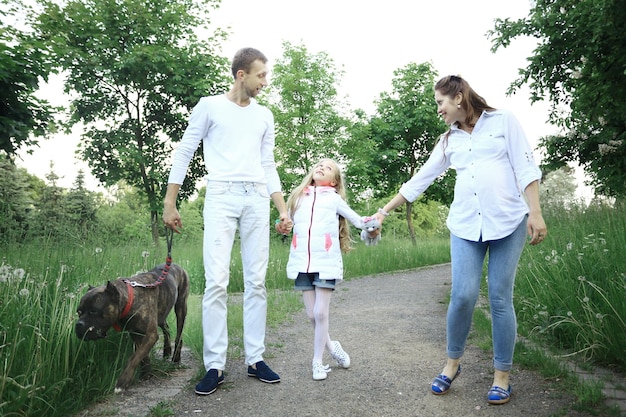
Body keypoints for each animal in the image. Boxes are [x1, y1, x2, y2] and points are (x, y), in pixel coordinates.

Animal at [75, 262, 188, 392]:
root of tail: (175, 265)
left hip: (181, 307)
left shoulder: (150, 335)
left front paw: (123, 381)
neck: (130, 299)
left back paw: (176, 357)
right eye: (79, 312)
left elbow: (135, 357)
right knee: (166, 327)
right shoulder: (135, 334)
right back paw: (167, 351)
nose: (78, 324)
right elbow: (142, 357)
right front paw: (146, 373)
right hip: (161, 313)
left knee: (179, 334)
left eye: (93, 311)